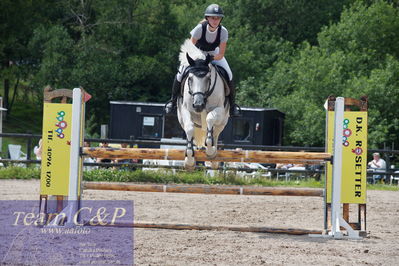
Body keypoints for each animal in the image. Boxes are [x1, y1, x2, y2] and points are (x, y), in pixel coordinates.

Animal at [177, 39, 230, 168]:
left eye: (208, 78)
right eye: (190, 78)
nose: (198, 105)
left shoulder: (220, 110)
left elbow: (210, 118)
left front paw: (210, 149)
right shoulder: (185, 110)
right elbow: (189, 128)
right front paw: (189, 159)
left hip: (223, 121)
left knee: (215, 131)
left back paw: (212, 157)